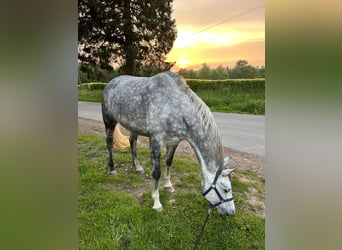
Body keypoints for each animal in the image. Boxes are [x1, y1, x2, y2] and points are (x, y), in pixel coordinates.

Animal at [101, 71, 235, 215]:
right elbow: (156, 172)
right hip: (109, 122)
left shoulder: (174, 142)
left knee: (132, 142)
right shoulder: (156, 141)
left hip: (134, 126)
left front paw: (168, 185)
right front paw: (157, 203)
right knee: (109, 145)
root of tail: (110, 83)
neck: (175, 107)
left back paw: (138, 167)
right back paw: (112, 169)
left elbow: (169, 162)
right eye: (226, 189)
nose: (232, 212)